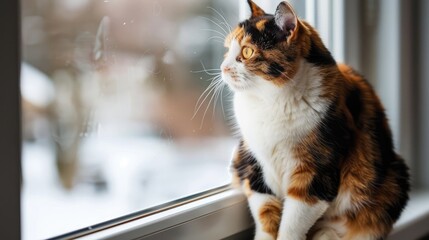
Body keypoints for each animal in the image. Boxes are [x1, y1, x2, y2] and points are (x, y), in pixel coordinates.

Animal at [222, 0, 410, 239]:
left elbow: (294, 221)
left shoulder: (316, 170)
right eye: (227, 50)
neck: (271, 101)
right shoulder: (253, 162)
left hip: (393, 180)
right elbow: (266, 214)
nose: (223, 68)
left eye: (247, 51)